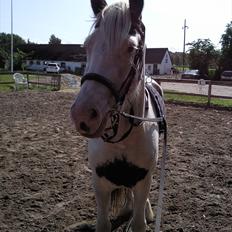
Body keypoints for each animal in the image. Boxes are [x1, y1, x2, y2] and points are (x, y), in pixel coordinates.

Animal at [70, 0, 166, 231]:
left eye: (131, 48)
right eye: (88, 45)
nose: (83, 114)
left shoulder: (143, 179)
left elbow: (139, 222)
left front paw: (142, 215)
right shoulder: (100, 183)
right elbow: (103, 223)